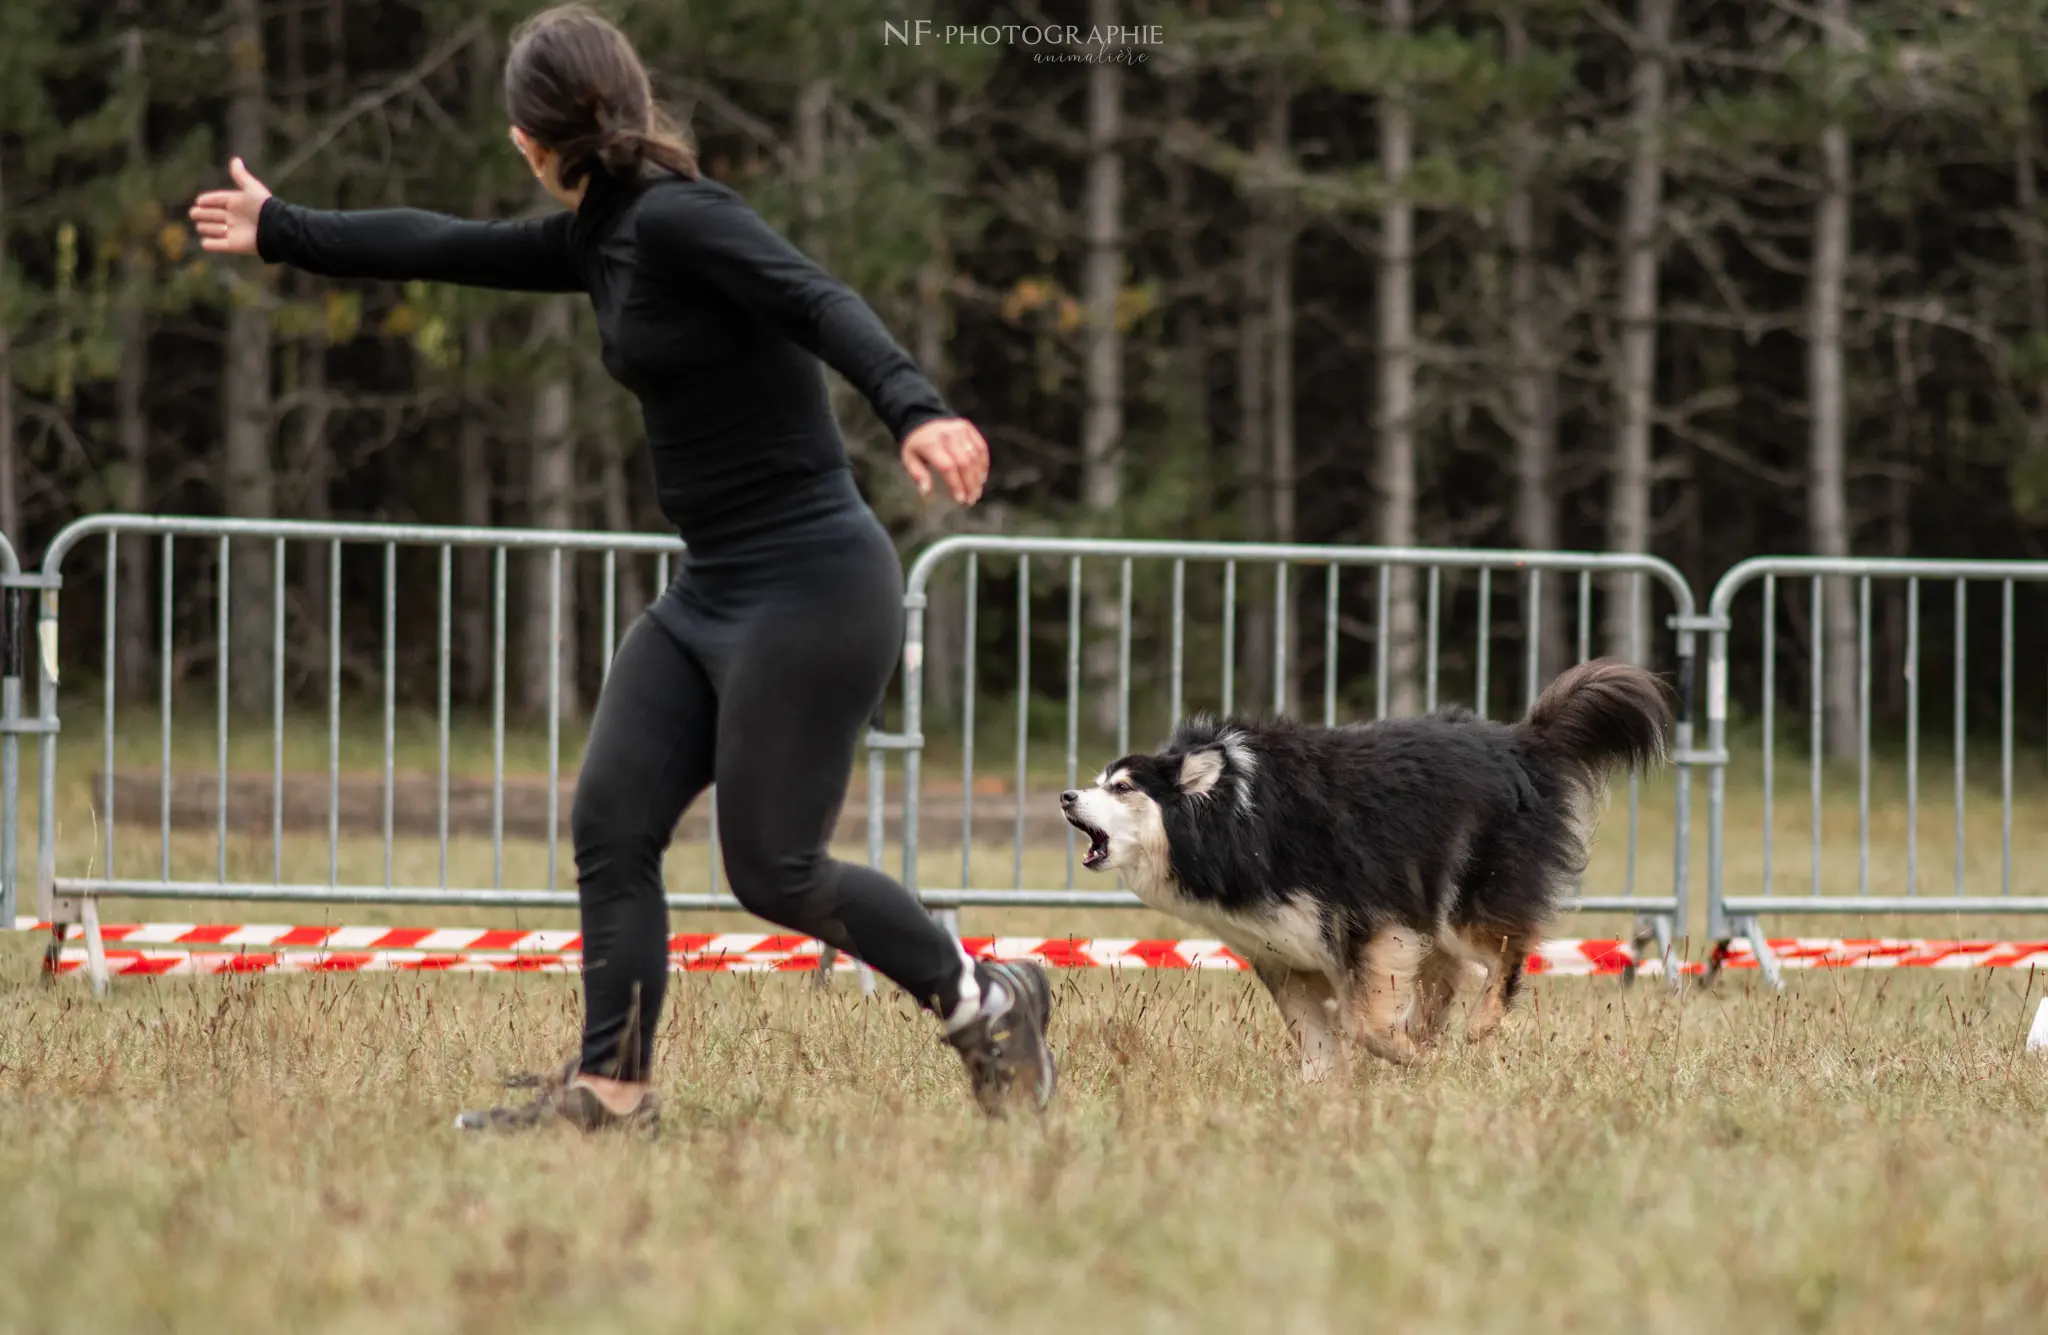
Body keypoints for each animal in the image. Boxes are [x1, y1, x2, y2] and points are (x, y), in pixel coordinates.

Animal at [1064, 663, 1671, 1081]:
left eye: (1122, 787)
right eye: (1098, 782)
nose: (1067, 796)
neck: (1234, 817)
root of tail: (1524, 740)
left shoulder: (1369, 916)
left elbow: (1361, 1022)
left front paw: (1406, 1058)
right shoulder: (1280, 947)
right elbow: (1313, 1032)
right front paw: (1323, 1089)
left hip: (1470, 884)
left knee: (1504, 949)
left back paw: (1478, 1023)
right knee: (1448, 971)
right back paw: (1431, 1033)